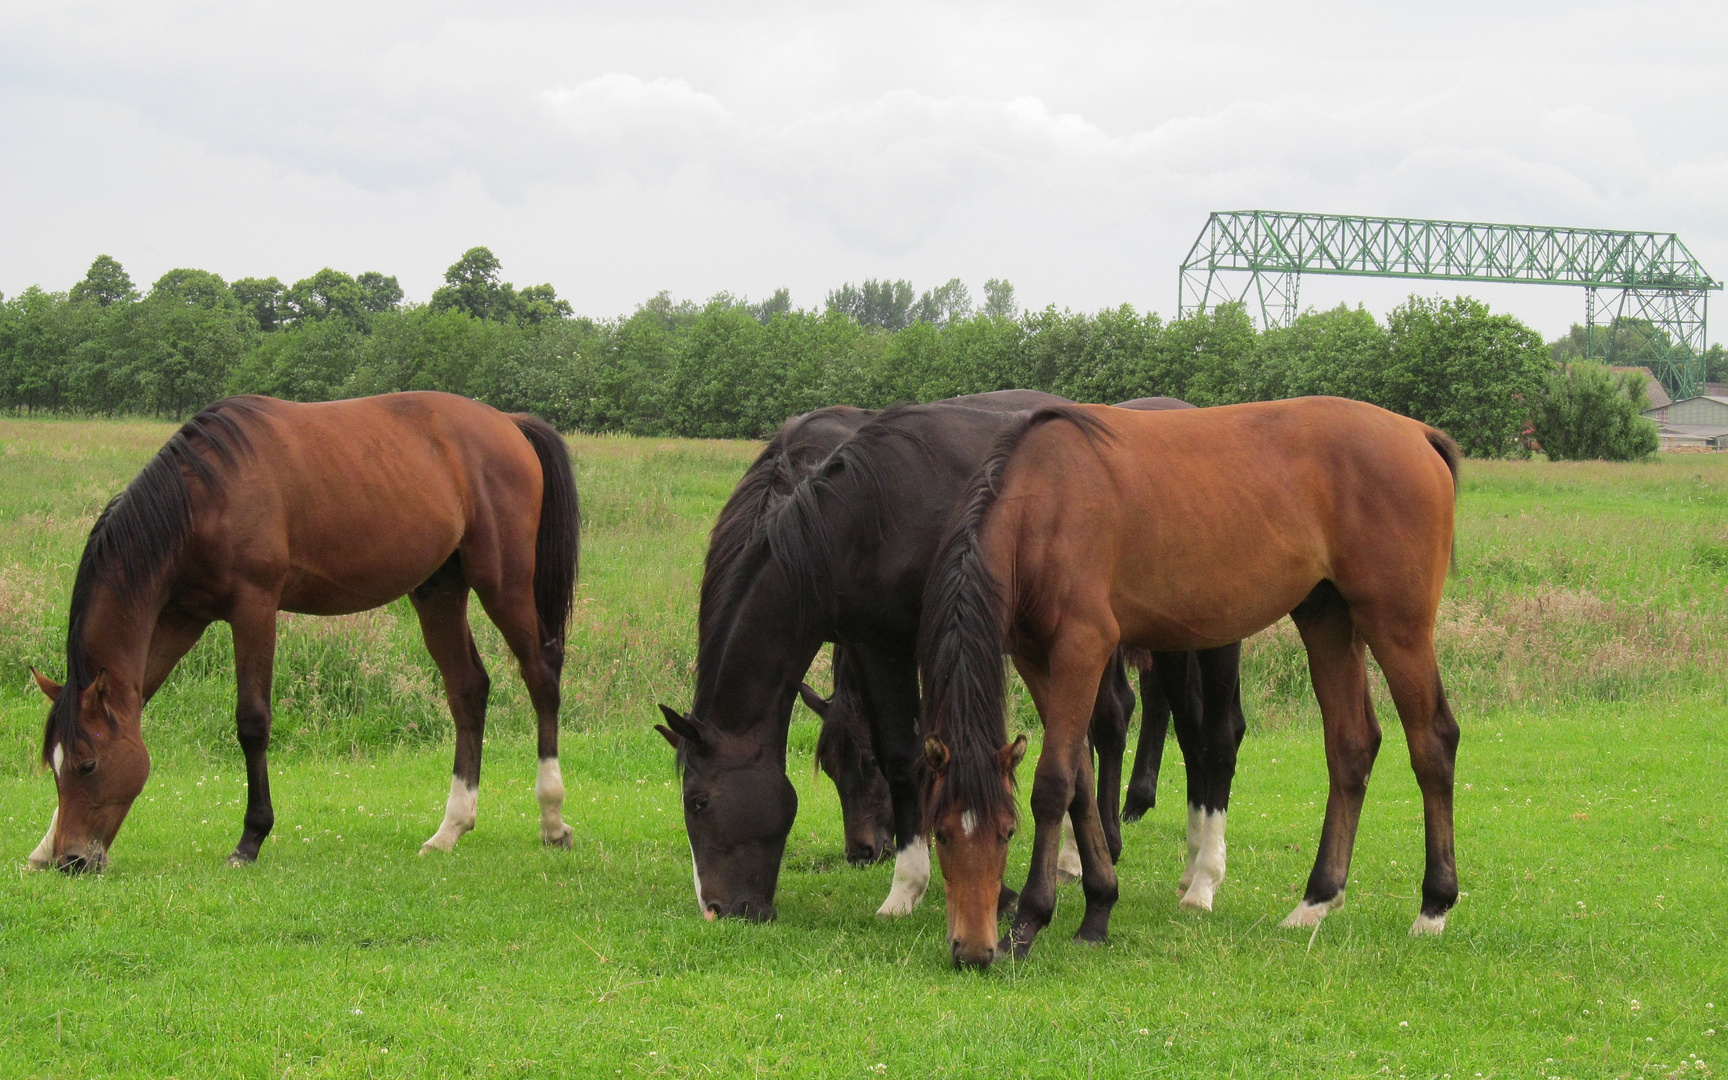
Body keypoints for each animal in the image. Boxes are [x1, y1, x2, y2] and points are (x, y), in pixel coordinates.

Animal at [28, 392, 580, 870]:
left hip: (503, 583)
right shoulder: (183, 618)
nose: (72, 861)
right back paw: (450, 829)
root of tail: (507, 423)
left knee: (541, 675)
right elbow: (135, 699)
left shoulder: (254, 608)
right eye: (55, 767)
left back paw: (553, 819)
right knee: (468, 690)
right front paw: (42, 845)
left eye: (87, 766)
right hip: (439, 591)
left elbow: (252, 722)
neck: (204, 497)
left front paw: (250, 838)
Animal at [919, 397, 1458, 967]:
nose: (972, 950)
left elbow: (1054, 783)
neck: (1045, 503)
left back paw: (1433, 907)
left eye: (1007, 832)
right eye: (941, 833)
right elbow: (1082, 781)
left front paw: (1030, 921)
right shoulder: (1035, 658)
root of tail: (1417, 434)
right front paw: (1098, 907)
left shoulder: (1081, 649)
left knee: (1433, 742)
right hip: (1327, 619)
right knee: (1351, 747)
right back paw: (1315, 900)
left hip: (1397, 626)